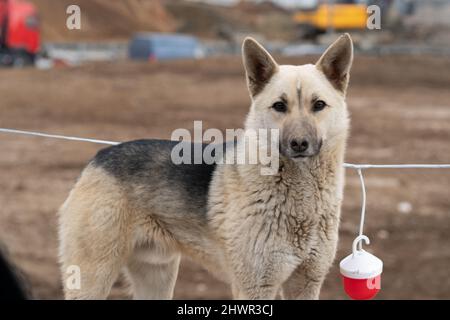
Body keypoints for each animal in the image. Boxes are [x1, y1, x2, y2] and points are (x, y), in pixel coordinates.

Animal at [59, 35, 352, 300]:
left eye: (318, 105)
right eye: (279, 106)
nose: (299, 144)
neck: (300, 200)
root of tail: (100, 155)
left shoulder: (306, 283)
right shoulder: (255, 287)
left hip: (157, 277)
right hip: (93, 279)